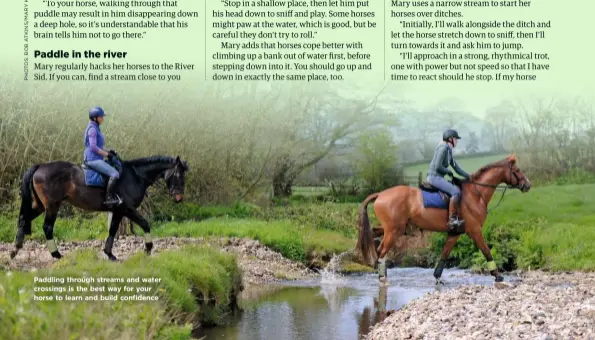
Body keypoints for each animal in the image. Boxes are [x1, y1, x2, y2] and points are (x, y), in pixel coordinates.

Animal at [10, 155, 190, 262]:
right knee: (47, 227)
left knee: (24, 219)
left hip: (40, 206)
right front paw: (148, 248)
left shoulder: (118, 211)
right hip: (52, 205)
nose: (179, 198)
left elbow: (112, 230)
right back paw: (57, 254)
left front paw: (109, 253)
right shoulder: (127, 208)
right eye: (178, 175)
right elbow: (145, 224)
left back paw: (15, 249)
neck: (135, 176)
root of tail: (40, 166)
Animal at [356, 154, 532, 284]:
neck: (476, 193)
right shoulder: (475, 230)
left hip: (393, 228)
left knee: (374, 234)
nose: (528, 185)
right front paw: (497, 275)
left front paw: (437, 277)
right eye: (517, 170)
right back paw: (382, 277)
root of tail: (381, 194)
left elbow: (444, 254)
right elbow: (486, 251)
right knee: (382, 250)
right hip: (394, 231)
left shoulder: (454, 233)